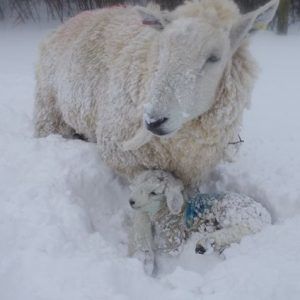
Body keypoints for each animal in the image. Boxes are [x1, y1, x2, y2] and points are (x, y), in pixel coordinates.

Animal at [33, 0, 278, 188]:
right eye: (163, 49)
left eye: (214, 57)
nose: (153, 121)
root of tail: (73, 19)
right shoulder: (121, 156)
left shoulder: (193, 170)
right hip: (49, 107)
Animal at [127, 170, 274, 274]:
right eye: (139, 185)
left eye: (154, 193)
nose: (131, 201)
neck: (165, 212)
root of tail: (265, 215)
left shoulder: (172, 242)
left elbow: (167, 250)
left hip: (230, 211)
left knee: (243, 228)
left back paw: (204, 244)